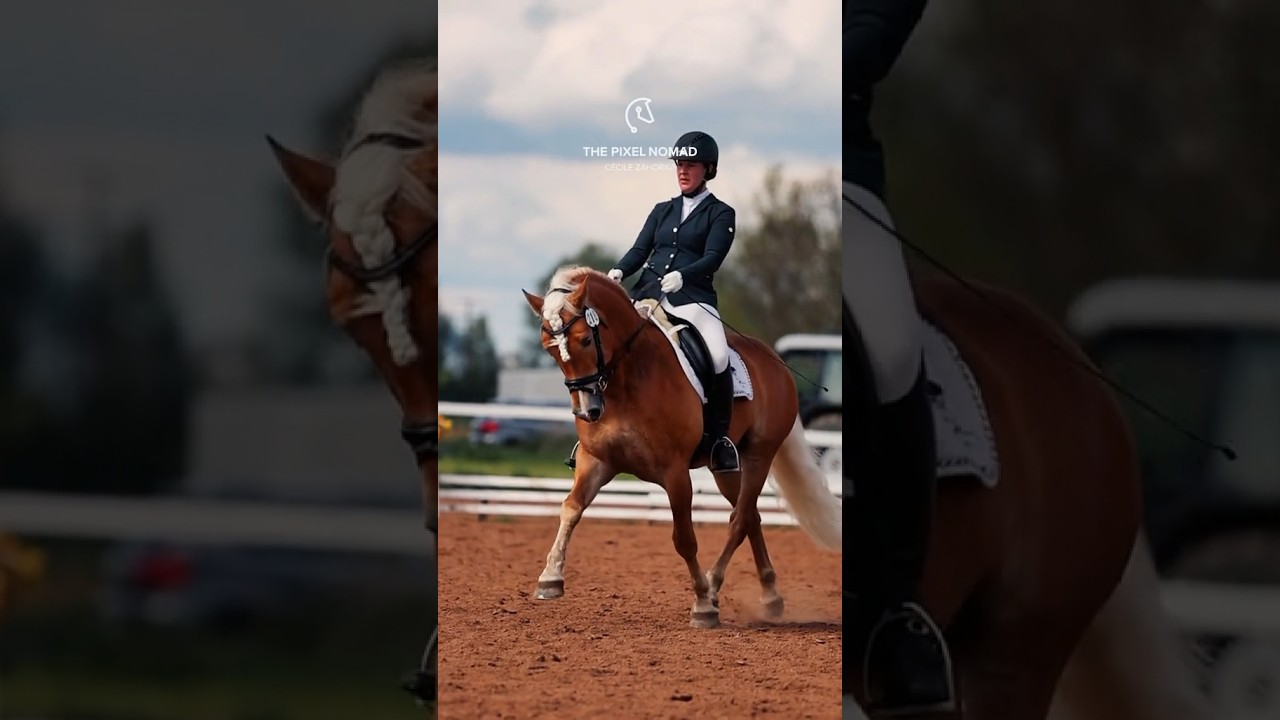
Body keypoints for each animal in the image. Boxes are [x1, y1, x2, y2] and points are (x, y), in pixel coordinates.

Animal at [521, 266, 843, 630]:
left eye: (585, 340)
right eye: (549, 348)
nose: (587, 412)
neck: (626, 380)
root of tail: (773, 360)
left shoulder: (674, 473)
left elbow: (685, 538)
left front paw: (702, 605)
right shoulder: (597, 461)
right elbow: (570, 509)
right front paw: (550, 578)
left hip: (759, 455)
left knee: (739, 518)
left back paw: (714, 587)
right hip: (725, 468)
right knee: (751, 516)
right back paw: (770, 597)